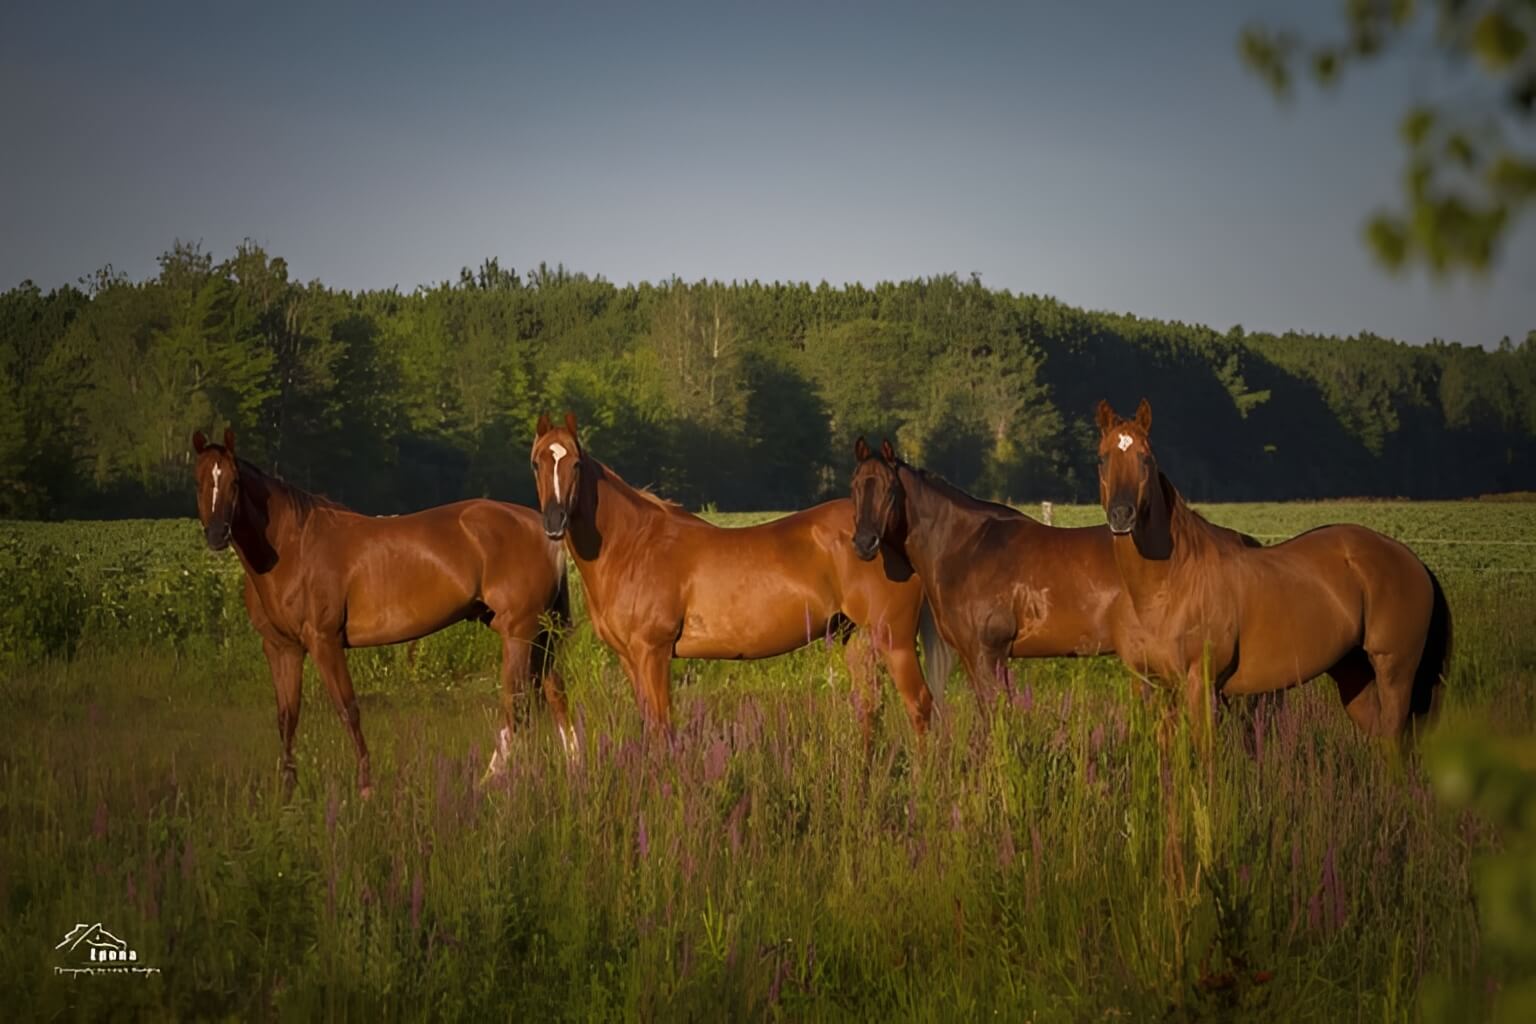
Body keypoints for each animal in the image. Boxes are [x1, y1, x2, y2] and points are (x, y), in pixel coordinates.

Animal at [191, 429, 574, 797]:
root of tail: (542, 527)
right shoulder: (281, 648)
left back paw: (491, 779)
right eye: (199, 480)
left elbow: (348, 709)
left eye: (234, 482)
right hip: (539, 633)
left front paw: (365, 787)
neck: (293, 548)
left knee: (518, 706)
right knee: (554, 695)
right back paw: (574, 768)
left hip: (519, 632)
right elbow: (287, 717)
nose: (217, 534)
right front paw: (286, 793)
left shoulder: (324, 641)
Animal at [529, 412, 944, 741]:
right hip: (857, 639)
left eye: (576, 464)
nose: (554, 522)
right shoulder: (631, 658)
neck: (634, 545)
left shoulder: (653, 653)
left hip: (895, 641)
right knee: (870, 711)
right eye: (536, 463)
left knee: (920, 708)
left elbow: (663, 728)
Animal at [849, 437, 1123, 700]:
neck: (966, 548)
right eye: (855, 486)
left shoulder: (987, 654)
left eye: (890, 488)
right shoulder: (970, 655)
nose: (864, 543)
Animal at [1093, 399, 1451, 743]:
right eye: (1102, 459)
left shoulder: (1201, 687)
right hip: (1355, 676)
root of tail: (1410, 560)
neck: (1171, 583)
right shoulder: (1158, 687)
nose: (1122, 515)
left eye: (1145, 459)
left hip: (1395, 671)